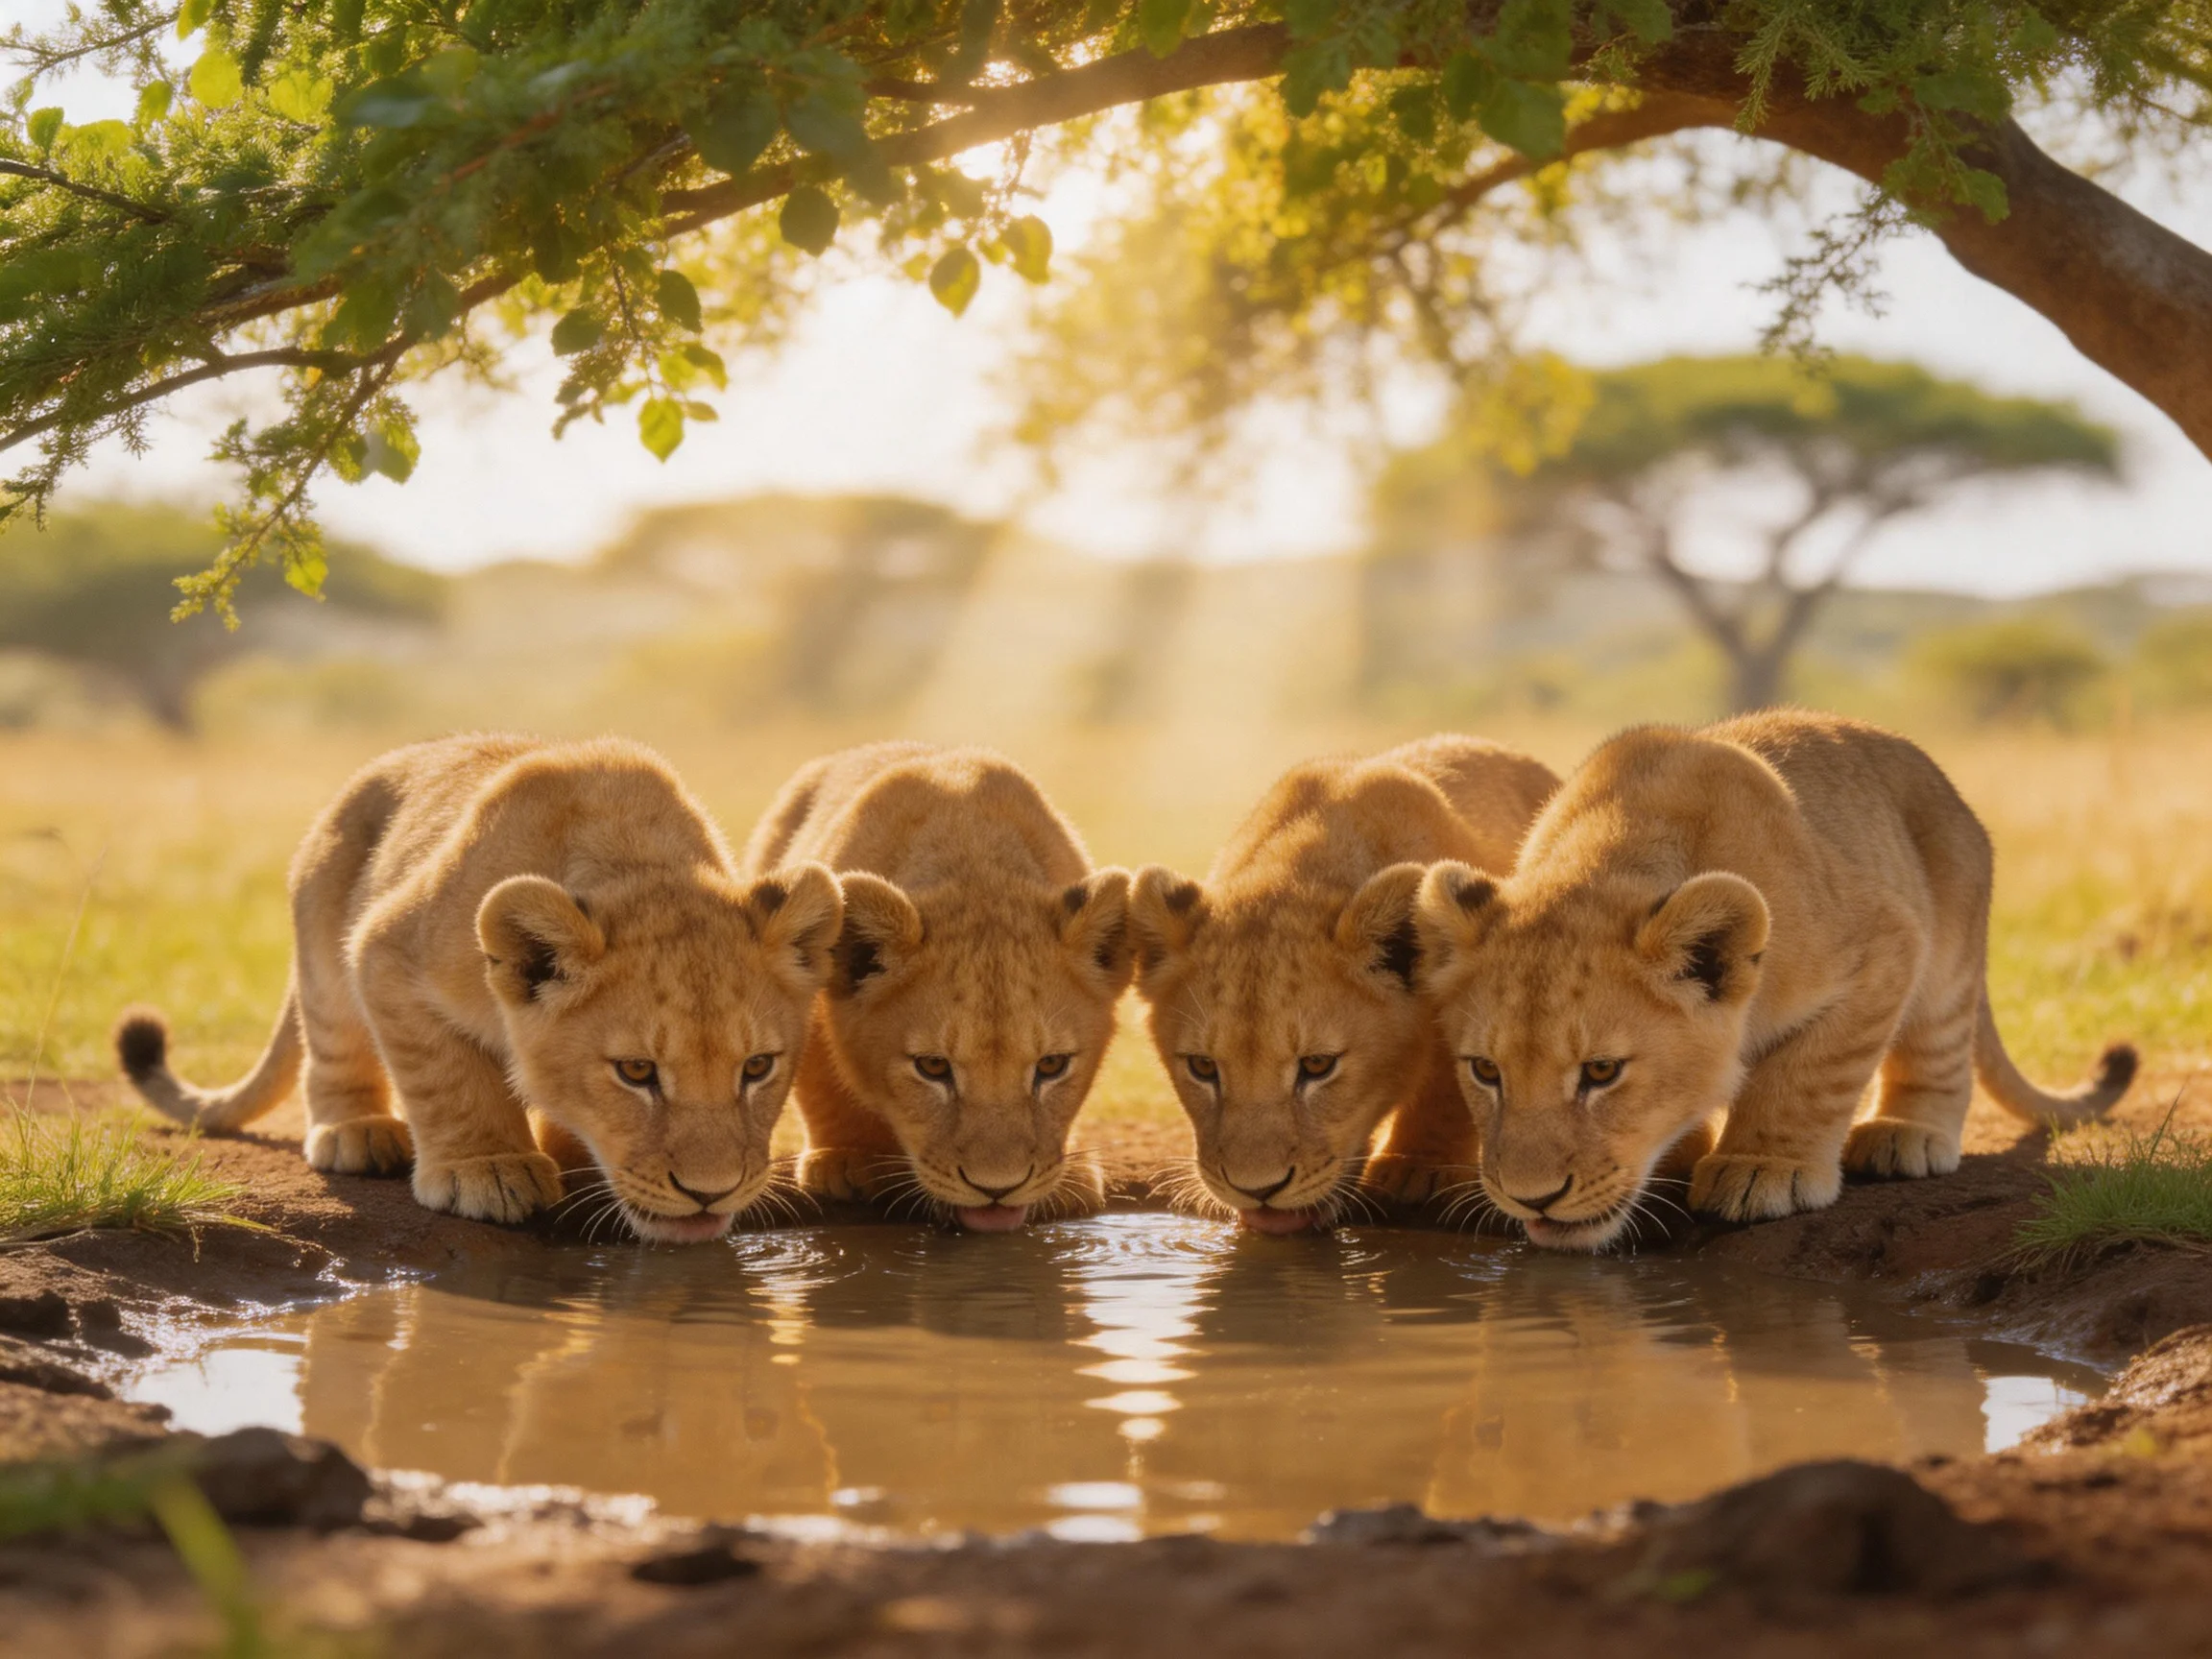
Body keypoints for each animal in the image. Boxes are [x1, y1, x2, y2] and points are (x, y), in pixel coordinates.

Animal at [115, 734, 840, 1242]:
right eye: (636, 1072)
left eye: (758, 1067)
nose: (710, 1193)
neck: (637, 864)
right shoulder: (387, 951)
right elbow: (450, 1080)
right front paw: (487, 1169)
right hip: (324, 934)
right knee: (332, 1042)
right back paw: (357, 1131)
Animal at [741, 743, 1133, 1231]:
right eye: (932, 1067)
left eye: (1052, 1065)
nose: (997, 1189)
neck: (976, 865)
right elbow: (821, 1087)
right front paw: (844, 1158)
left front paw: (1071, 1182)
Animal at [1415, 710, 2137, 1252]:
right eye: (1485, 1071)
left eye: (1601, 1072)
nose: (1530, 1197)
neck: (1606, 858)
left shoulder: (1884, 942)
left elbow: (1807, 1078)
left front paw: (1762, 1167)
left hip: (1949, 947)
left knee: (1940, 1045)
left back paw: (1906, 1132)